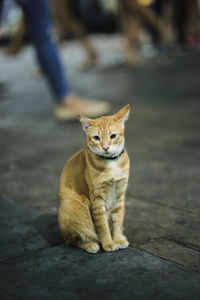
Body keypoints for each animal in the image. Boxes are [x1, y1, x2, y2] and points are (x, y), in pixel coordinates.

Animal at [57, 105, 130, 253]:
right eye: (96, 138)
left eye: (113, 136)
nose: (106, 147)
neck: (111, 163)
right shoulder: (97, 200)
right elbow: (102, 226)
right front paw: (108, 243)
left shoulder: (120, 195)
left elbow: (118, 221)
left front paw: (118, 239)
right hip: (78, 206)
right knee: (74, 239)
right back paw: (91, 245)